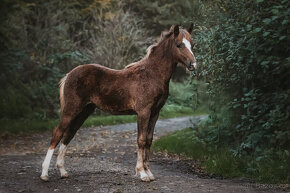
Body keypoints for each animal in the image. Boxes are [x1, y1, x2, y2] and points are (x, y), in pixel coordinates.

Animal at [40, 24, 197, 181]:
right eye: (179, 44)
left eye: (192, 44)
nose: (193, 64)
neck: (152, 74)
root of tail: (69, 75)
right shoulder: (143, 112)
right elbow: (141, 140)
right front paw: (142, 173)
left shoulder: (155, 113)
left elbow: (149, 140)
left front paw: (149, 172)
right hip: (71, 109)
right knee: (57, 134)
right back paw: (44, 174)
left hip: (84, 111)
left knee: (68, 135)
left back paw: (63, 171)